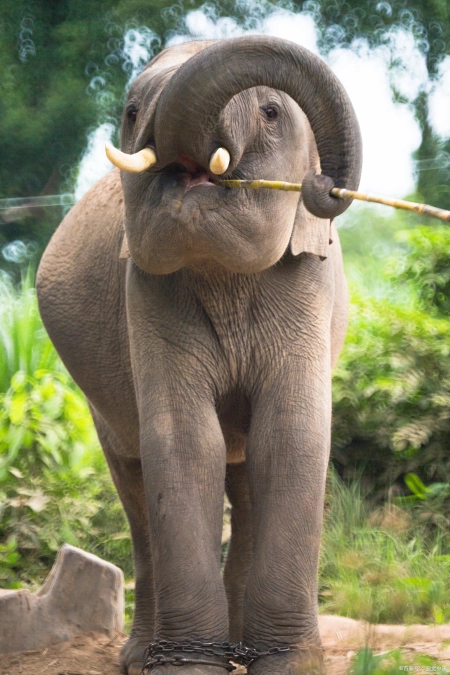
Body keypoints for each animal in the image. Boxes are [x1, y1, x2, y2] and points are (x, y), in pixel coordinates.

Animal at [37, 37, 362, 675]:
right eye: (132, 112)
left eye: (270, 113)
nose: (322, 186)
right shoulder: (146, 293)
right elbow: (184, 443)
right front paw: (184, 667)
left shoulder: (307, 290)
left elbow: (290, 436)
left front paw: (289, 665)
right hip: (100, 404)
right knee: (136, 484)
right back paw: (142, 656)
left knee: (248, 471)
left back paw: (239, 652)